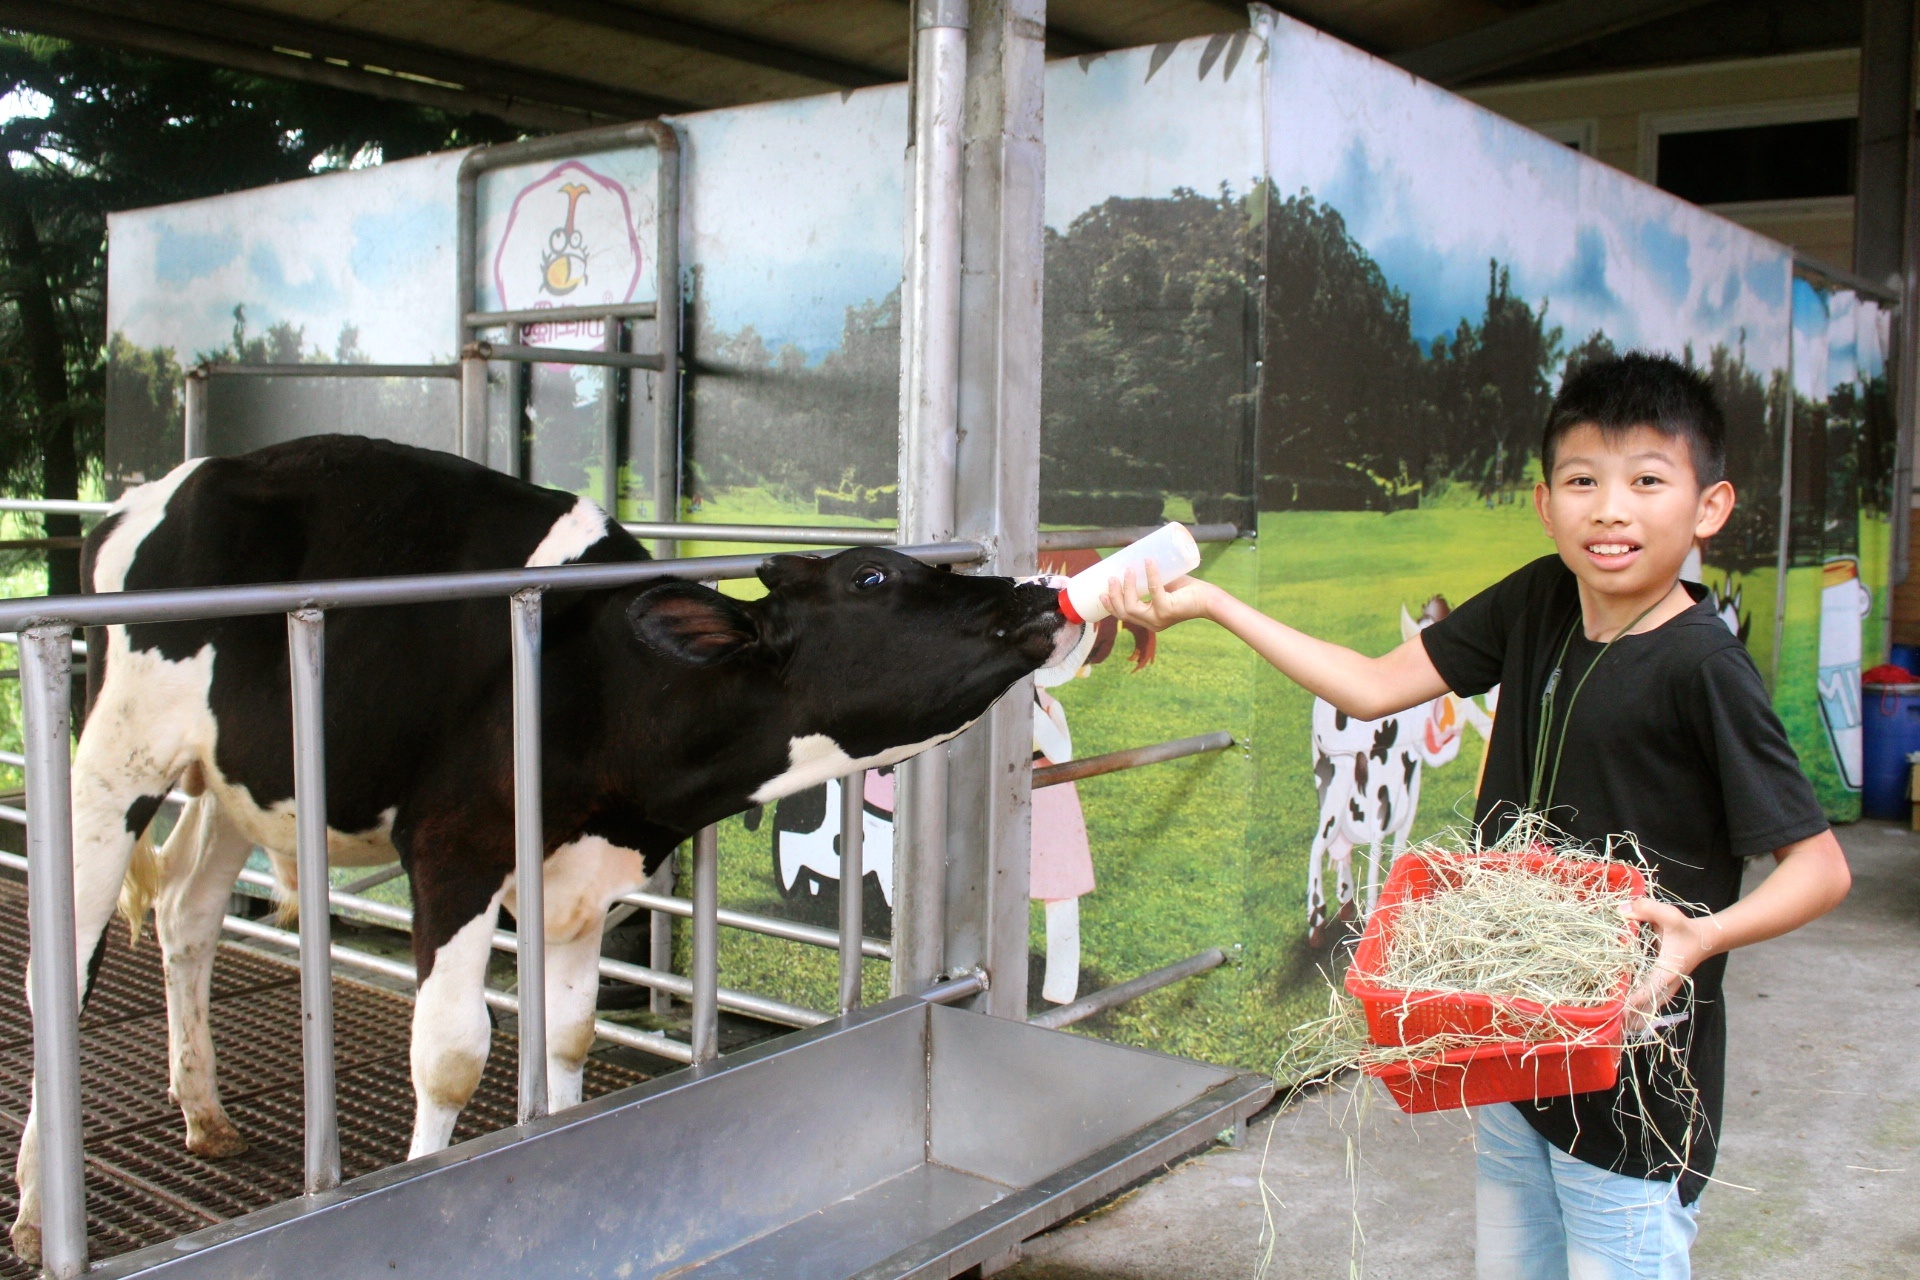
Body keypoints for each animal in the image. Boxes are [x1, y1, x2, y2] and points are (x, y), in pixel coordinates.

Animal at [7, 437, 1075, 1258]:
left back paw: (204, 1114)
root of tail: (147, 495)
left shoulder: (585, 882)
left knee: (186, 912)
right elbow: (451, 1054)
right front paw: (426, 1185)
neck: (606, 693)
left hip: (236, 779)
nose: (1033, 596)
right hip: (114, 755)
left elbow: (567, 1035)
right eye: (872, 576)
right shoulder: (455, 849)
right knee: (61, 970)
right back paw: (35, 1214)